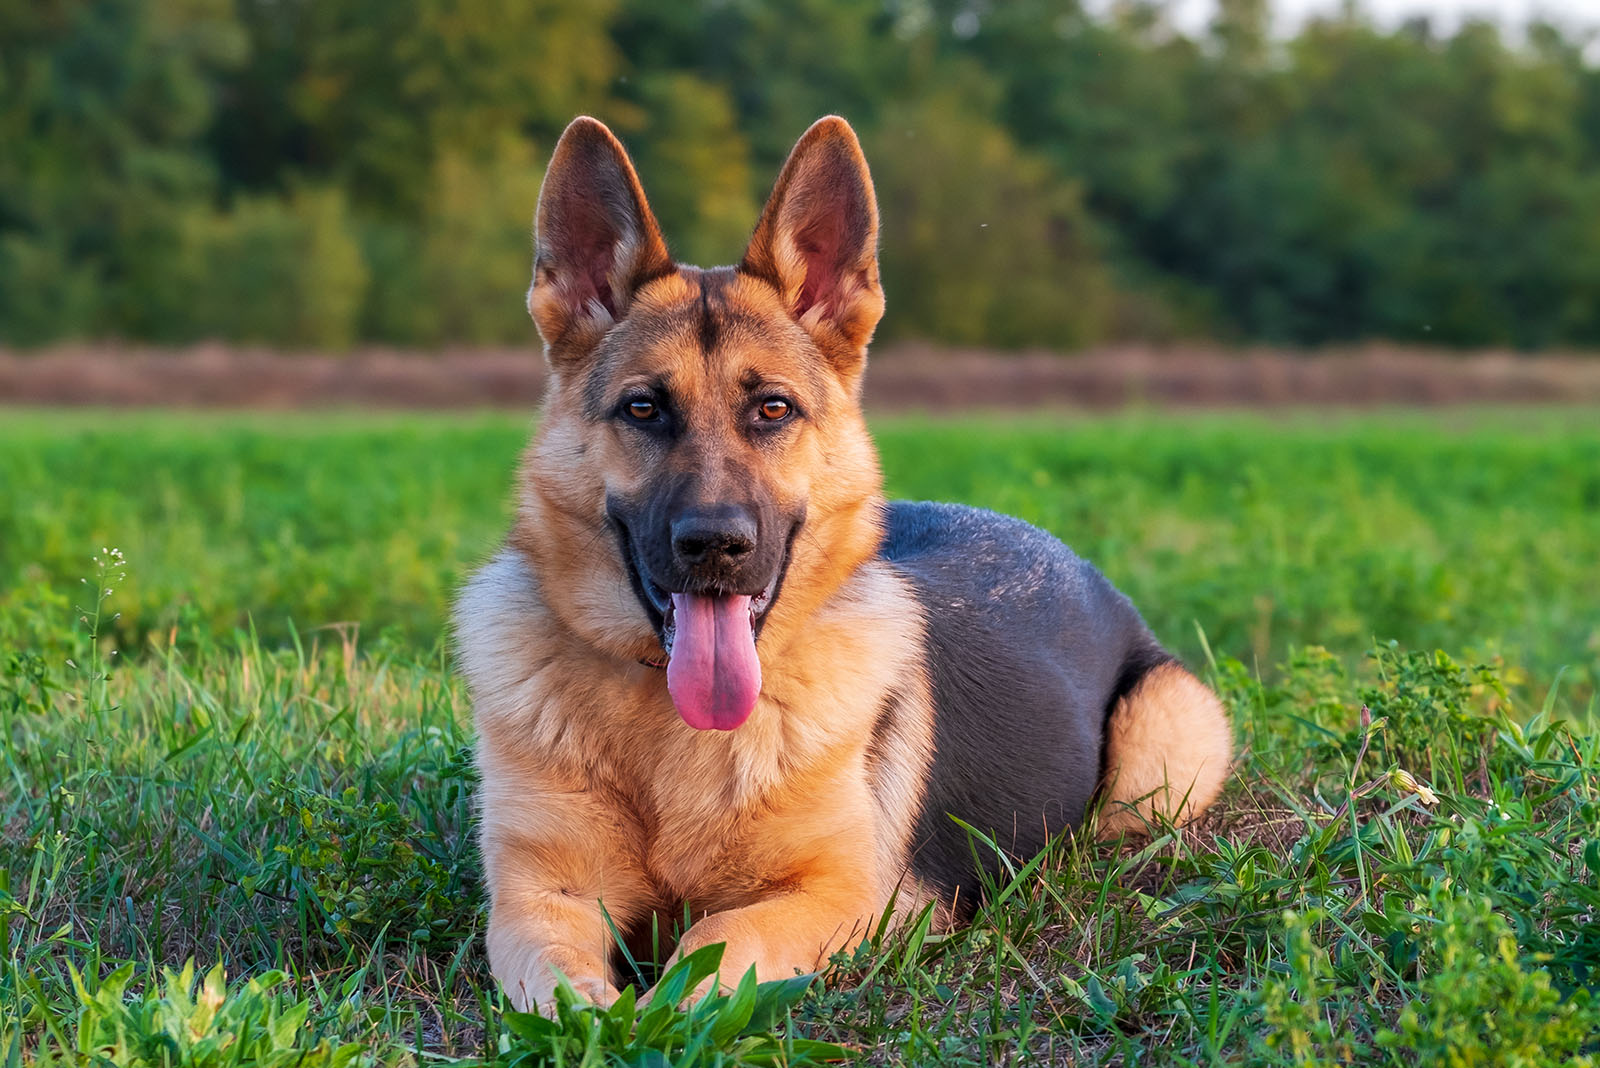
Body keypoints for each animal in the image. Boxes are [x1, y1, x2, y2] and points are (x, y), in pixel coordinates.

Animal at [457, 115, 1228, 1010]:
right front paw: (606, 1022)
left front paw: (657, 1014)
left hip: (1157, 757)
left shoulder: (844, 897)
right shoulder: (538, 897)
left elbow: (715, 940)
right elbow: (565, 989)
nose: (716, 545)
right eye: (643, 408)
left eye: (773, 409)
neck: (668, 728)